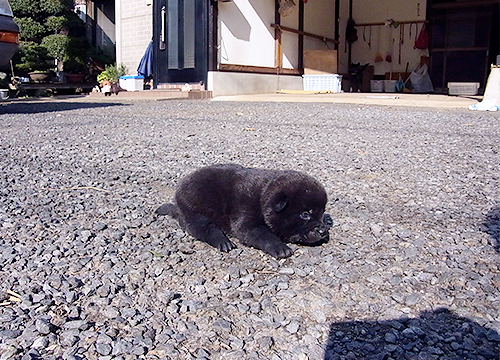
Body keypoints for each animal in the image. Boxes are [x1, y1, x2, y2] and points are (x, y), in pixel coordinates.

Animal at [156, 165, 332, 258]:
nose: (323, 230)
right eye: (305, 214)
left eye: (322, 212)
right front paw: (280, 247)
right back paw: (223, 241)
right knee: (205, 228)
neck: (262, 198)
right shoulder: (246, 219)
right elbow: (263, 234)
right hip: (194, 214)